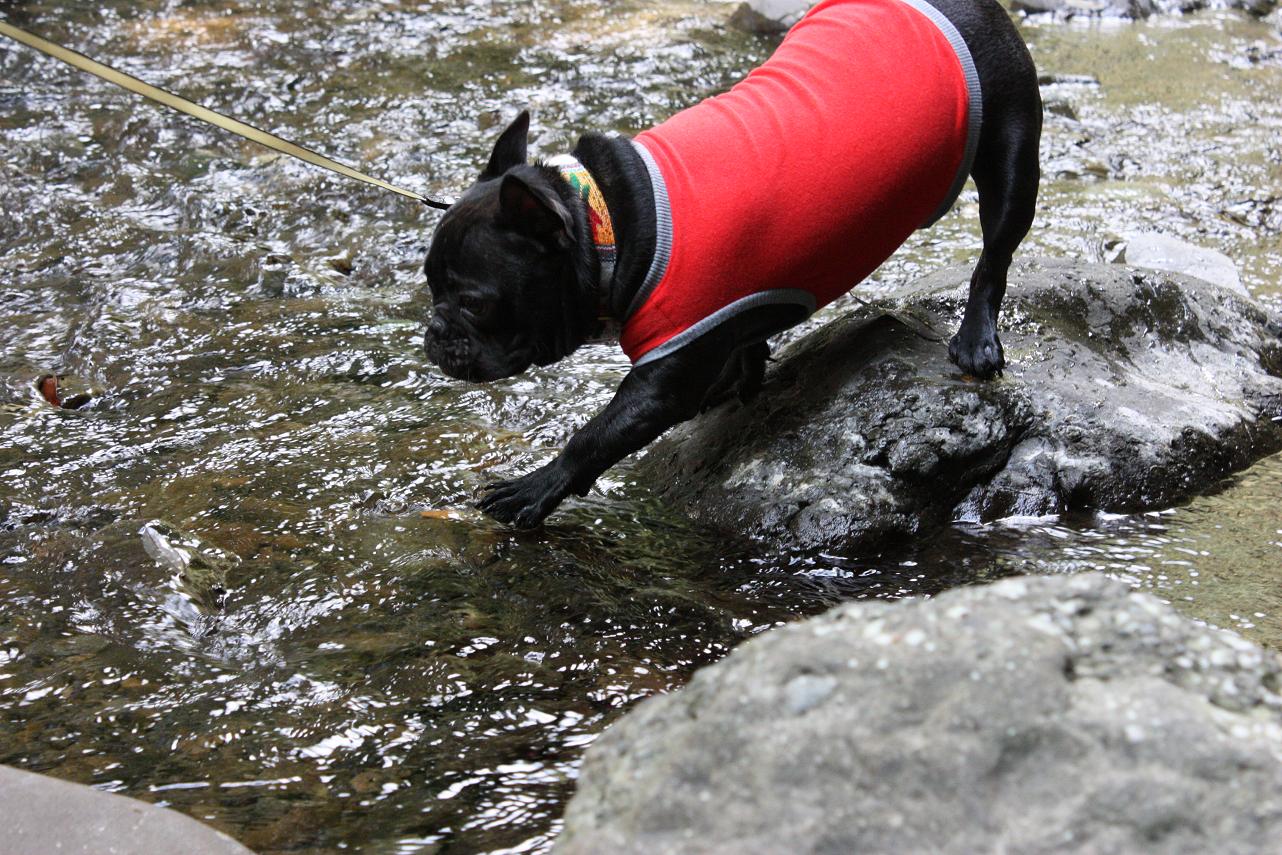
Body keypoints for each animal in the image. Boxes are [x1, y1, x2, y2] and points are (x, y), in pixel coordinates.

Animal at [423, 0, 1042, 528]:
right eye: (429, 286)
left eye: (473, 303)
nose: (433, 334)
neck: (607, 226)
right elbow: (744, 340)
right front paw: (739, 375)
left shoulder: (661, 378)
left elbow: (596, 434)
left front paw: (536, 486)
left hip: (1011, 156)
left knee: (994, 258)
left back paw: (976, 338)